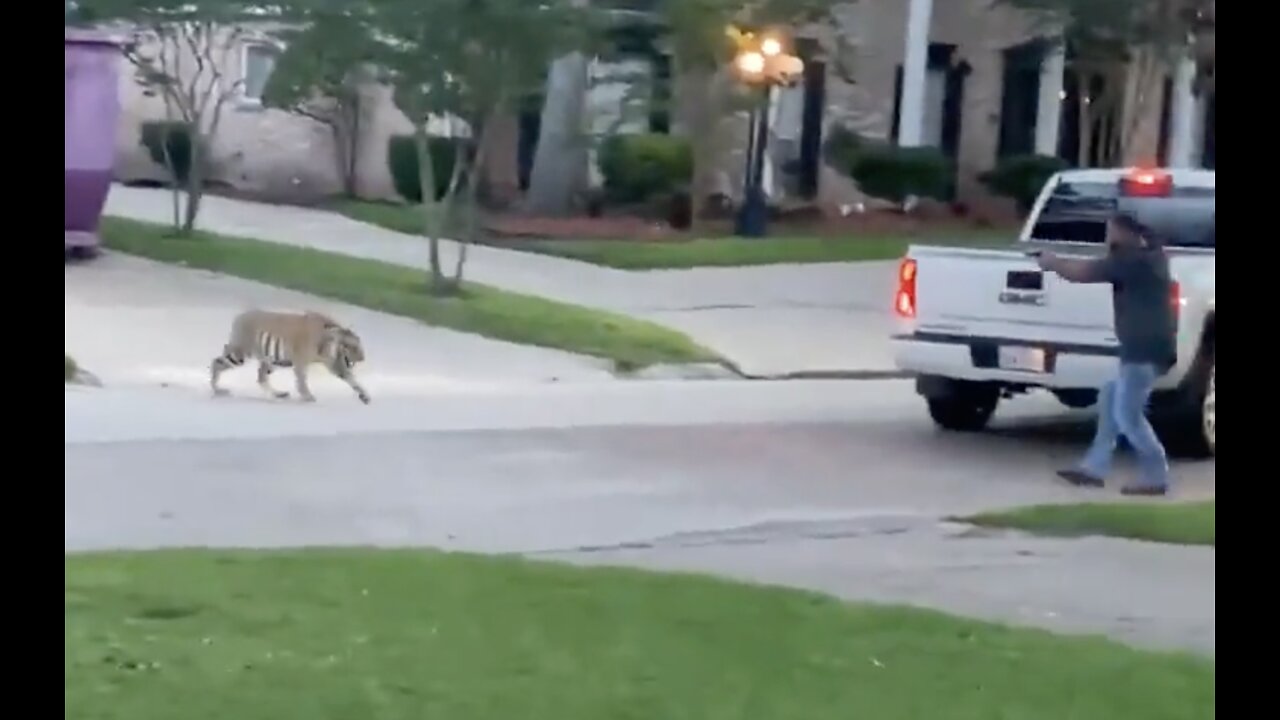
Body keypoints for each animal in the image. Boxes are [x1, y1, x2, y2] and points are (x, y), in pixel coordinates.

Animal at [209, 304, 371, 399]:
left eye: (359, 346)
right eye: (352, 347)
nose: (363, 358)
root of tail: (239, 316)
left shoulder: (335, 364)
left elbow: (351, 379)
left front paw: (364, 396)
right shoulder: (301, 362)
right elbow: (302, 380)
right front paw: (307, 396)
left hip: (270, 359)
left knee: (261, 377)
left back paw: (278, 394)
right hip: (241, 353)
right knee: (216, 362)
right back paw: (217, 390)